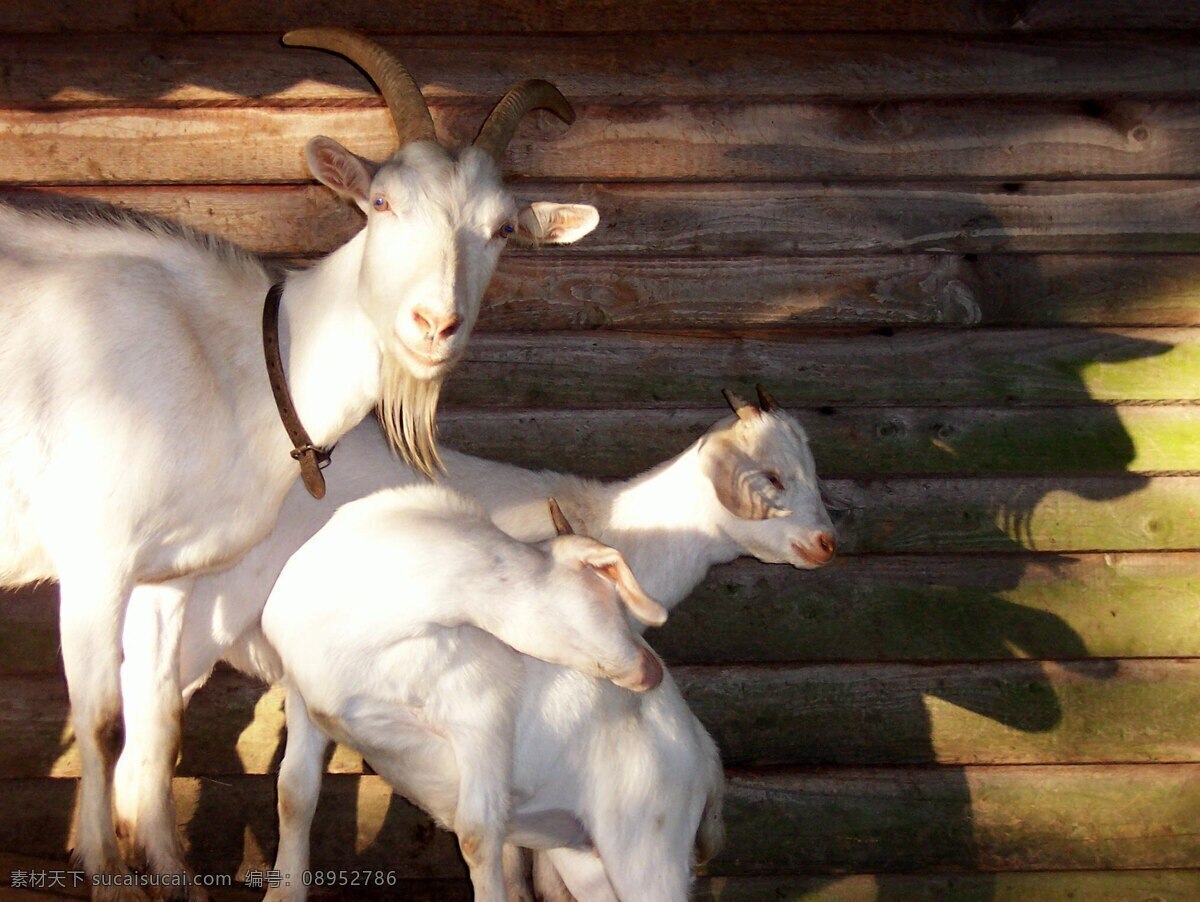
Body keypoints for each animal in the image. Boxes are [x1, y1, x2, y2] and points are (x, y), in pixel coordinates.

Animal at [0, 24, 600, 897]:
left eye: (503, 231)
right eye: (382, 203)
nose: (434, 324)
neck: (242, 362)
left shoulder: (169, 571)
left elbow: (158, 719)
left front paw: (173, 874)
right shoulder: (95, 557)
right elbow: (104, 723)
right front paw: (107, 873)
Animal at [255, 486, 720, 902]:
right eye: (611, 594)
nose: (653, 669)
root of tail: (705, 751)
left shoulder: (482, 715)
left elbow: (478, 837)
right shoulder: (303, 700)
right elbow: (293, 793)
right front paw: (283, 894)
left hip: (648, 847)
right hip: (583, 856)